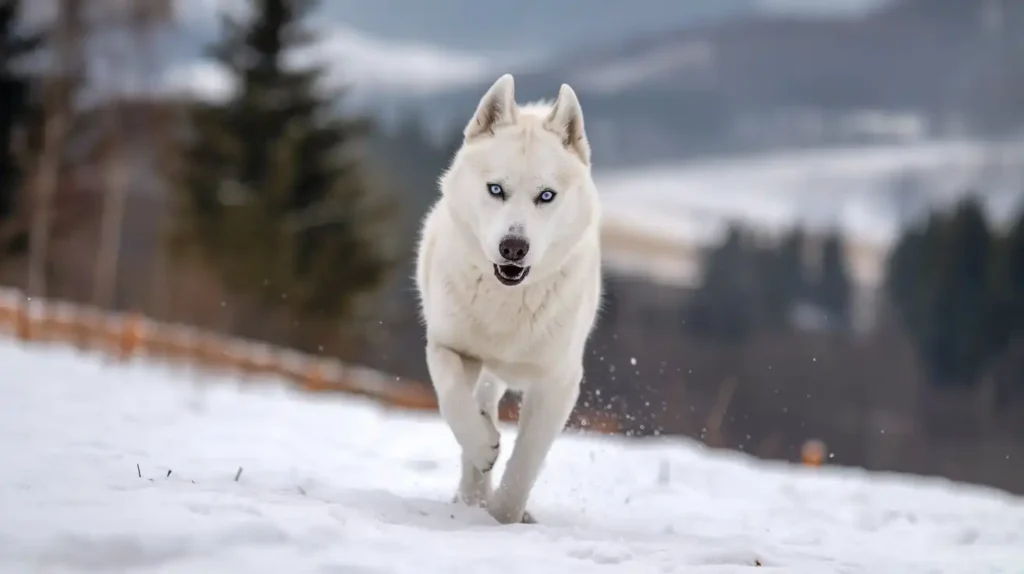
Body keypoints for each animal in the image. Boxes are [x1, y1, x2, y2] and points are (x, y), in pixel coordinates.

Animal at [413, 72, 598, 523]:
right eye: (495, 189)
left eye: (546, 195)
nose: (513, 247)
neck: (508, 301)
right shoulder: (447, 345)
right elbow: (452, 400)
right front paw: (484, 447)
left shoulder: (558, 381)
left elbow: (527, 458)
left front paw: (504, 516)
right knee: (479, 401)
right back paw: (473, 487)